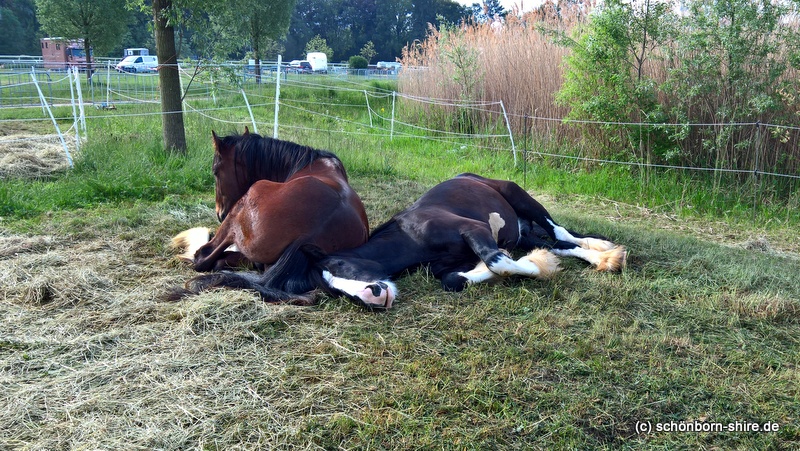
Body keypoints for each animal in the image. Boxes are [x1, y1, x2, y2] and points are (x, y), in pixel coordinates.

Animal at [172, 173, 628, 310]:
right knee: (558, 241)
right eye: (330, 290)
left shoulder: (475, 231)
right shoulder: (449, 266)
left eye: (340, 267)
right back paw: (604, 256)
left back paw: (607, 252)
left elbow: (499, 259)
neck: (411, 237)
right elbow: (459, 279)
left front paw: (538, 267)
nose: (373, 296)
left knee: (558, 231)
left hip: (519, 196)